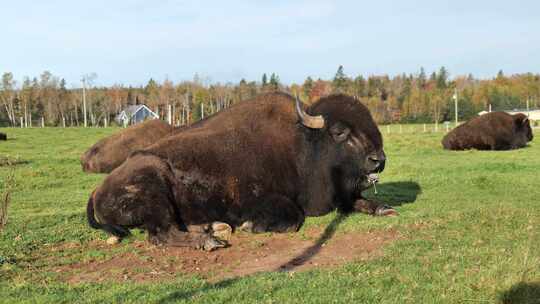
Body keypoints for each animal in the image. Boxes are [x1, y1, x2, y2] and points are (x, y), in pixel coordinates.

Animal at [87, 93, 392, 252]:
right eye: (340, 132)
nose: (379, 160)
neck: (303, 142)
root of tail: (98, 189)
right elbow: (293, 217)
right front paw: (249, 226)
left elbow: (356, 201)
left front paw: (384, 208)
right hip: (154, 191)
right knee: (161, 234)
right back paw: (210, 239)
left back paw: (212, 228)